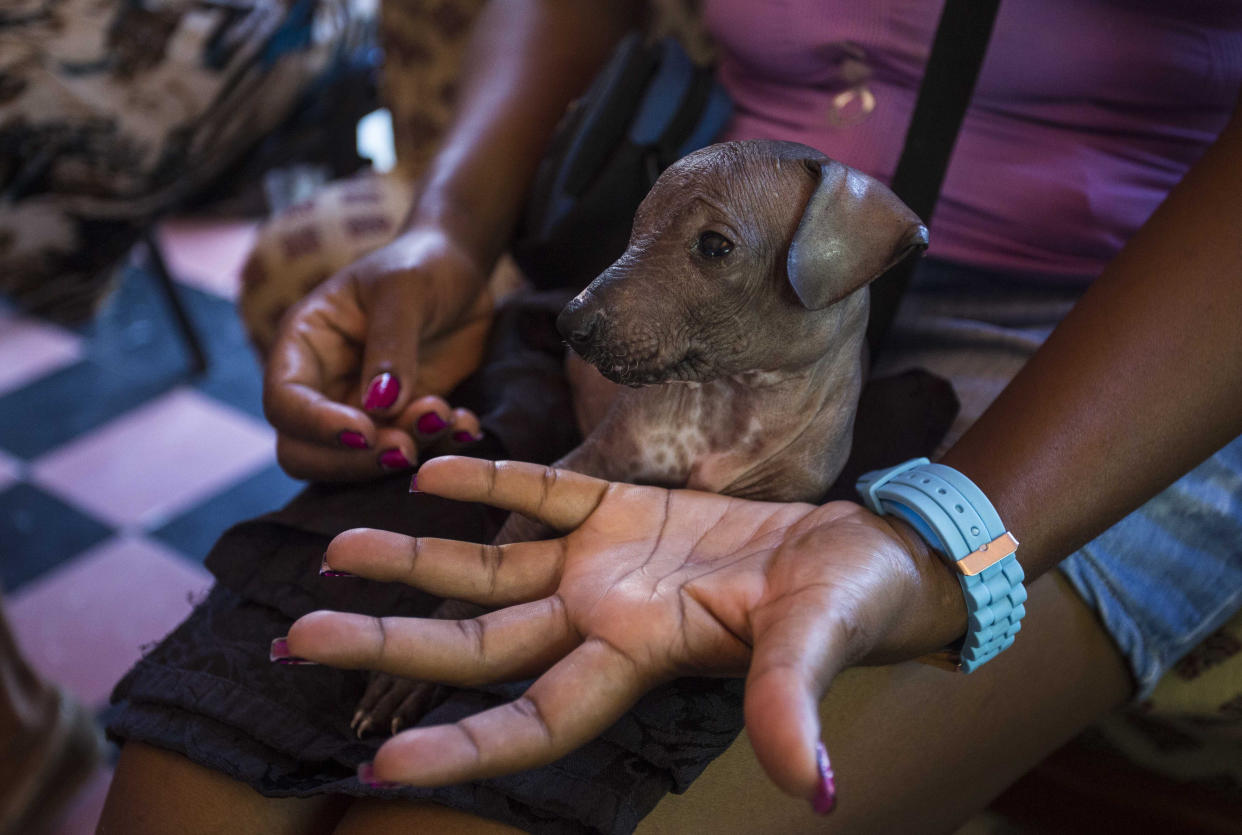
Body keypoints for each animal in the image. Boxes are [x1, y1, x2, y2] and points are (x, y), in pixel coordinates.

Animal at [350, 140, 924, 735]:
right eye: (637, 224)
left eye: (715, 245)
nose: (570, 325)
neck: (731, 403)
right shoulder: (590, 460)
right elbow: (509, 537)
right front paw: (408, 675)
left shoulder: (780, 496)